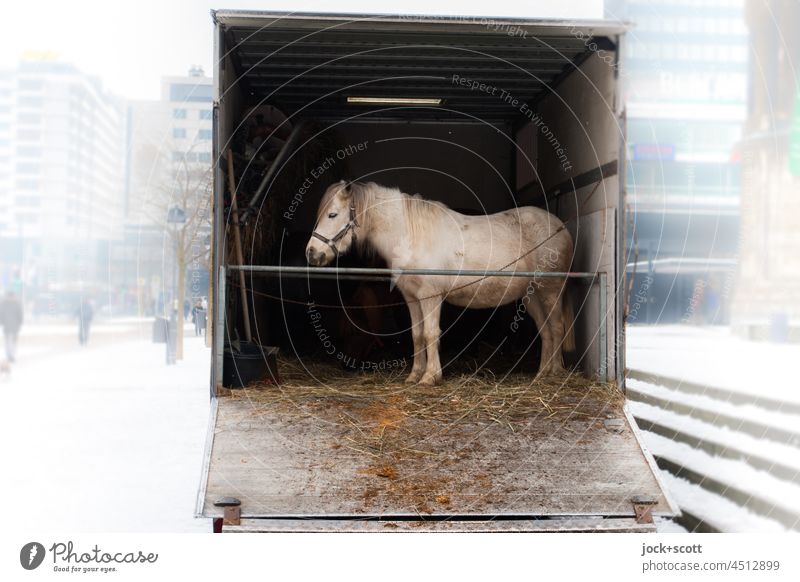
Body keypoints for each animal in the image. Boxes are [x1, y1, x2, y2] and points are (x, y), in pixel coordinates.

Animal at [304, 180, 572, 386]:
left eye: (332, 214)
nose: (311, 253)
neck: (411, 235)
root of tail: (561, 227)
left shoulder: (430, 297)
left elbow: (431, 333)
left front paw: (430, 377)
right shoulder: (412, 299)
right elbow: (417, 334)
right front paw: (414, 375)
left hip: (550, 290)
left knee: (557, 327)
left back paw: (554, 373)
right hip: (532, 295)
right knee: (546, 330)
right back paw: (542, 374)